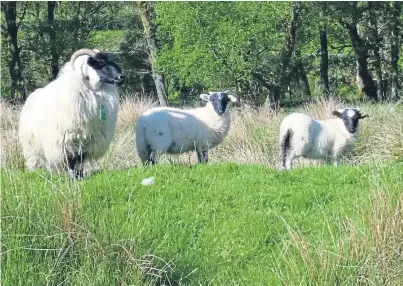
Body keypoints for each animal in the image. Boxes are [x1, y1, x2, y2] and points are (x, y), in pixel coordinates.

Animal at [18, 48, 124, 180]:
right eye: (100, 63)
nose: (121, 77)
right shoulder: (66, 140)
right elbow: (71, 161)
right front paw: (73, 178)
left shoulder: (88, 140)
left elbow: (80, 160)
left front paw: (80, 177)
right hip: (32, 147)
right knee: (37, 161)